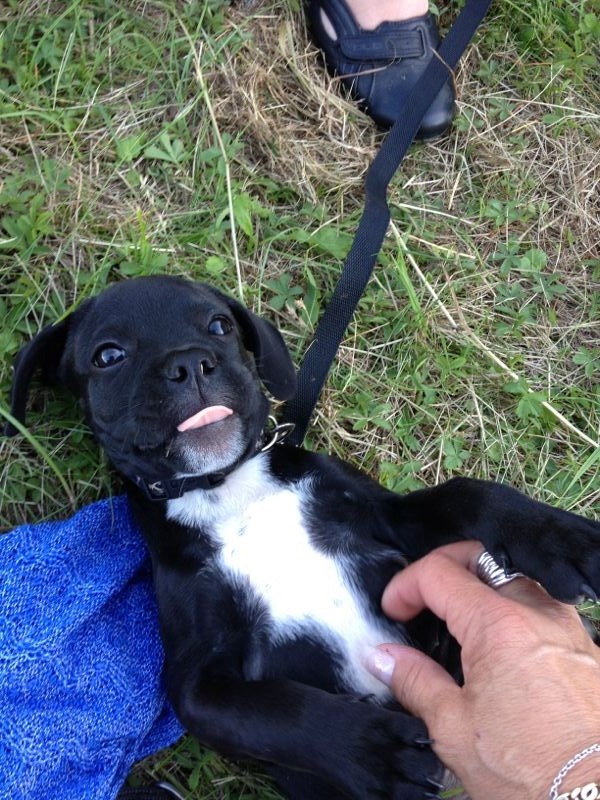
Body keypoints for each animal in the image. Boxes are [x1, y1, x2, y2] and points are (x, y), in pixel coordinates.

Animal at [8, 274, 600, 792]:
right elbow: (278, 711)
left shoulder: (387, 517)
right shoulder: (198, 682)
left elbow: (466, 493)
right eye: (109, 356)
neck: (226, 489)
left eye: (220, 325)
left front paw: (560, 539)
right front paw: (373, 751)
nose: (188, 363)